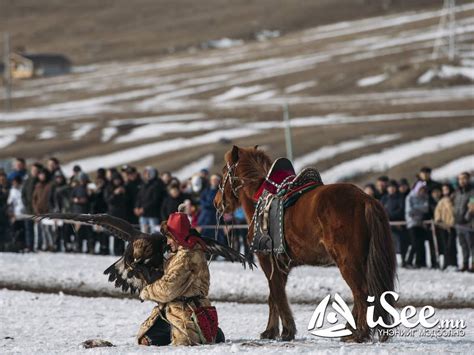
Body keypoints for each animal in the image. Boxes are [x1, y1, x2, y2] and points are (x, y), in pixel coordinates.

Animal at [215, 146, 396, 344]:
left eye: (224, 172)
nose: (217, 202)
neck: (258, 197)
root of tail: (365, 199)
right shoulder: (282, 265)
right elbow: (274, 296)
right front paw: (272, 330)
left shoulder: (266, 259)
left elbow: (276, 294)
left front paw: (286, 330)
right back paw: (351, 330)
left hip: (348, 262)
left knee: (361, 293)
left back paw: (358, 333)